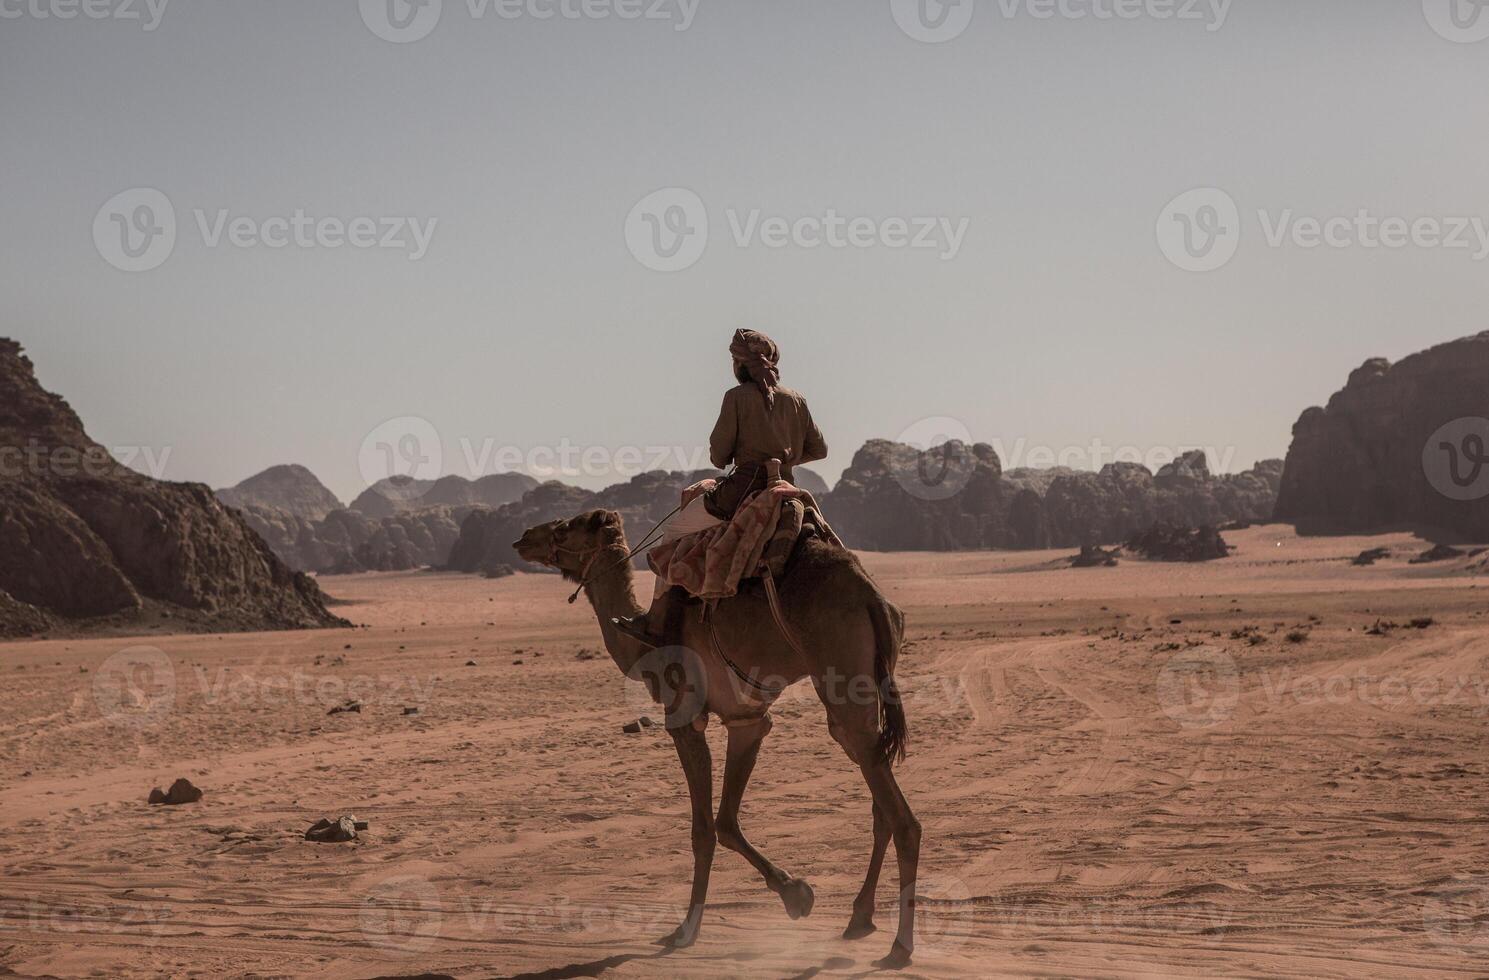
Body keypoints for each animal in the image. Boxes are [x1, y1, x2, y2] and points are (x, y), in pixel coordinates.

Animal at [518, 506, 923, 965]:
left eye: (567, 527)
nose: (524, 537)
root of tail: (874, 600)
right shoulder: (747, 721)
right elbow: (727, 821)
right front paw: (796, 894)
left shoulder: (684, 717)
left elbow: (704, 830)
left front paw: (685, 929)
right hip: (861, 697)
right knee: (877, 796)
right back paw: (859, 918)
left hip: (842, 677)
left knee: (903, 820)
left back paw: (900, 947)